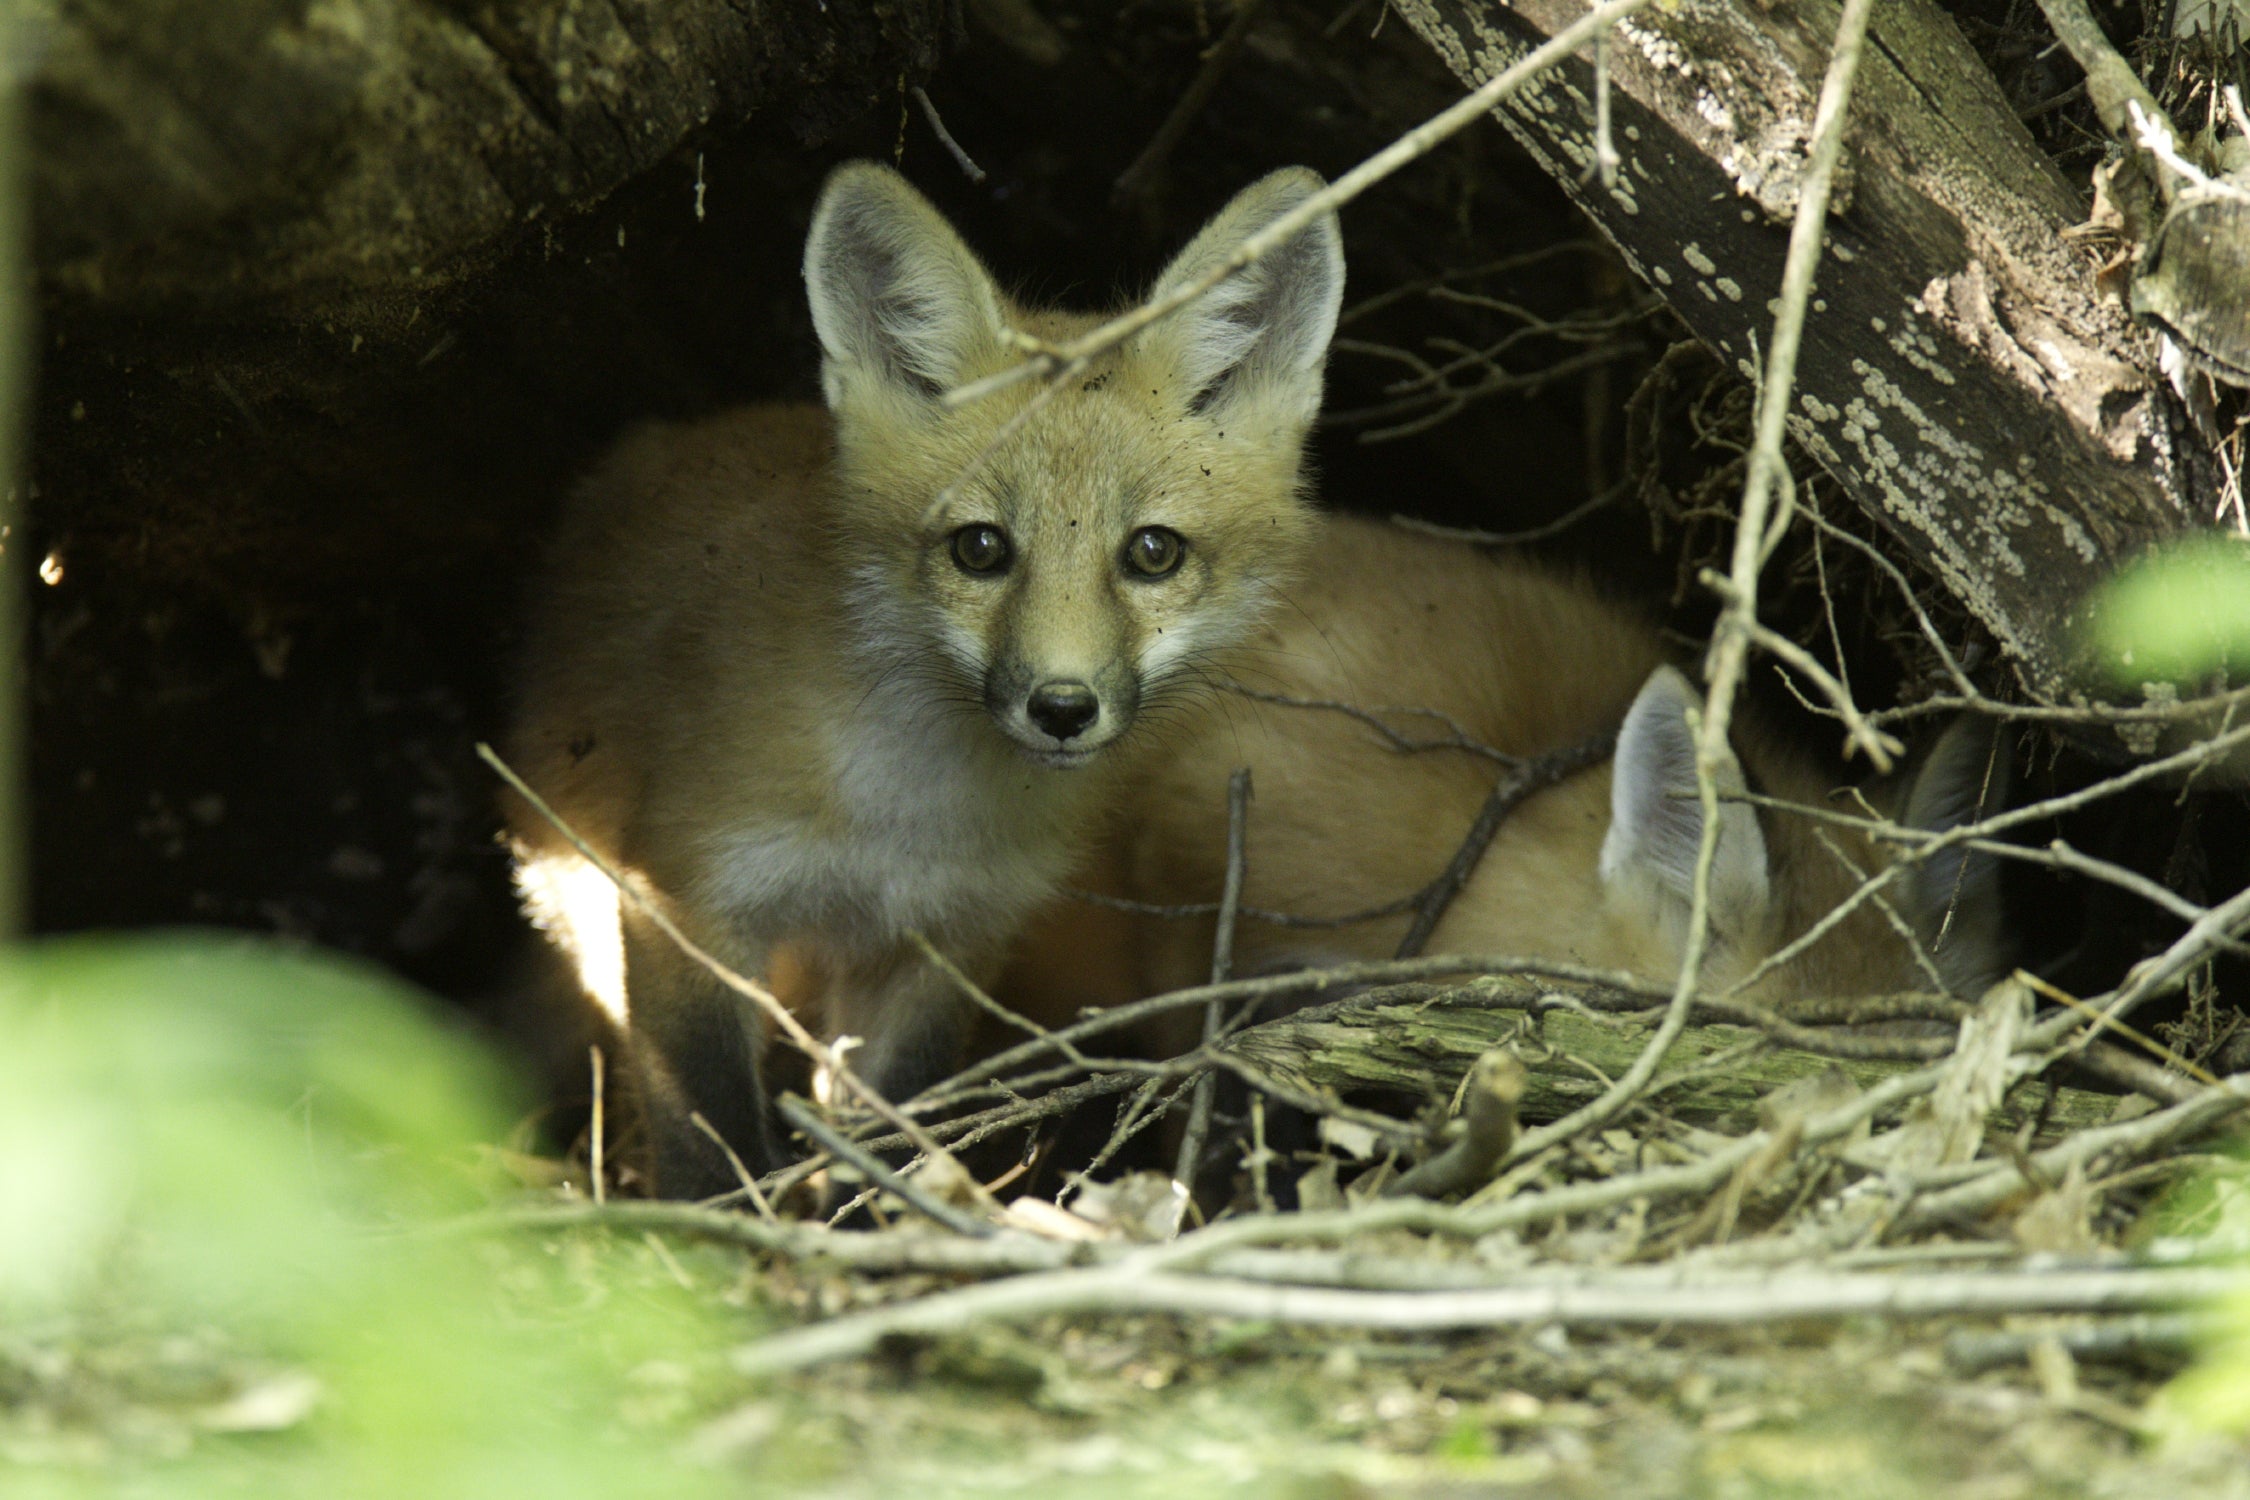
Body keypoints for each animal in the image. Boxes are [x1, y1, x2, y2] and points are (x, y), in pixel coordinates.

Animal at [510, 164, 1341, 1196]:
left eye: (1153, 553)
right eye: (978, 549)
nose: (1061, 708)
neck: (904, 816)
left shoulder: (940, 946)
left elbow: (891, 1139)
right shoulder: (685, 899)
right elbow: (708, 1136)